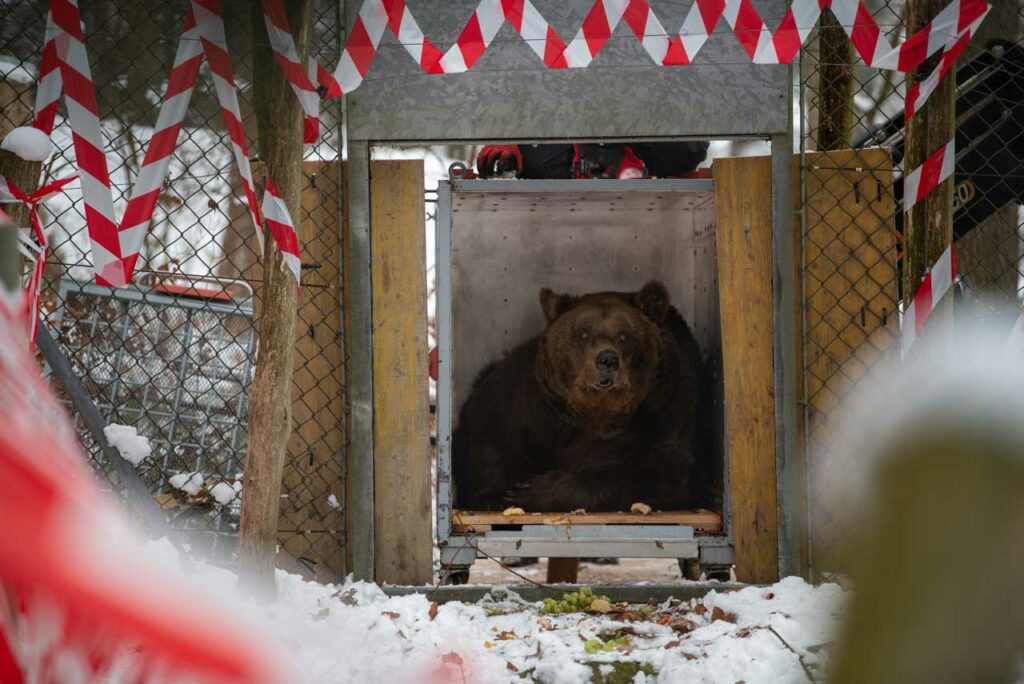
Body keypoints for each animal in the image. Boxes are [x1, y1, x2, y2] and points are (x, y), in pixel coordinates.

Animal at [456, 280, 704, 509]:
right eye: (584, 332)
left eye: (625, 335)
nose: (607, 359)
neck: (595, 413)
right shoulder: (533, 403)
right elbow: (496, 430)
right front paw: (496, 495)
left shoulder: (663, 412)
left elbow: (653, 474)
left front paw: (528, 491)